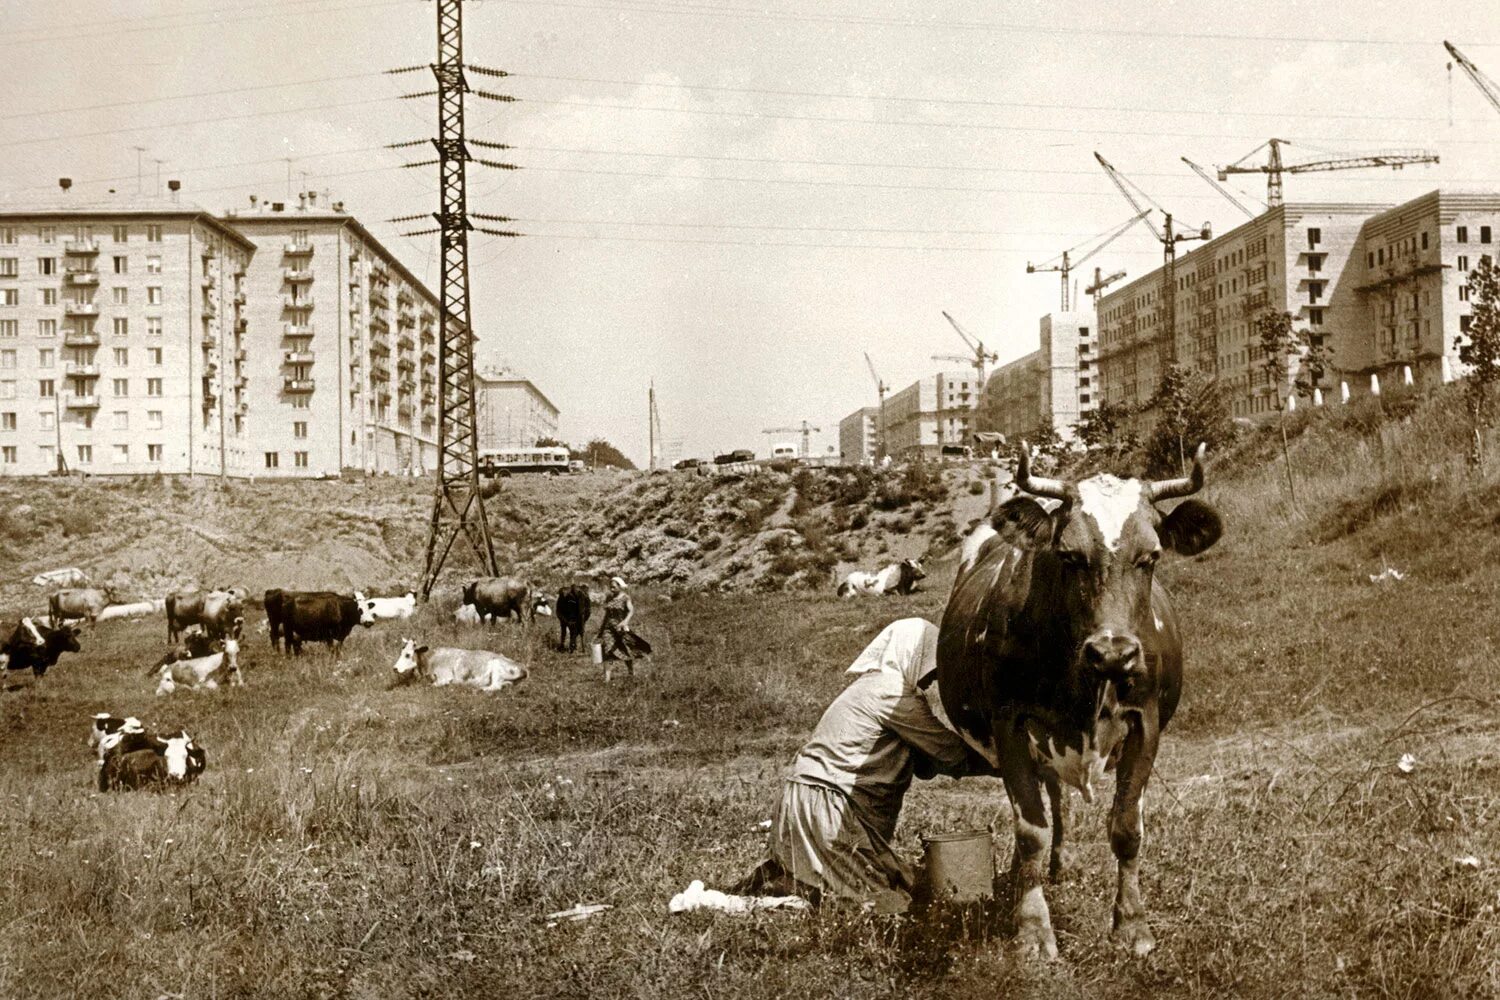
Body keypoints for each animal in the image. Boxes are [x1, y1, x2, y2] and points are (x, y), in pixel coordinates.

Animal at [390, 638, 531, 692]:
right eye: (401, 652)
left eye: (407, 654)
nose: (394, 668)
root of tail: (523, 667)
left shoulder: (445, 677)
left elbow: (432, 685)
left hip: (496, 667)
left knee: (495, 686)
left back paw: (479, 689)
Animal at [936, 440, 1218, 959]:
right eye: (1069, 555)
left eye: (1151, 556)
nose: (1113, 653)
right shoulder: (1010, 724)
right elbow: (1031, 829)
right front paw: (1032, 930)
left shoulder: (1146, 723)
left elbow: (1126, 827)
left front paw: (1132, 925)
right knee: (1046, 803)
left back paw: (1059, 867)